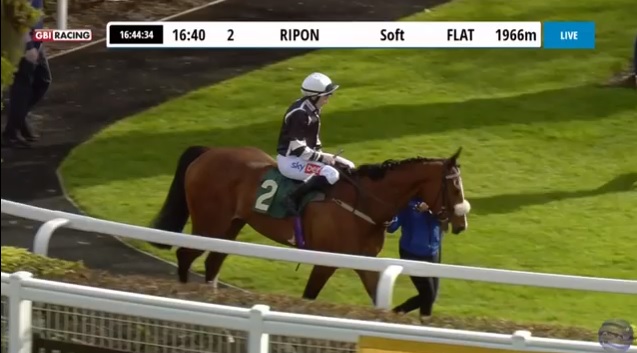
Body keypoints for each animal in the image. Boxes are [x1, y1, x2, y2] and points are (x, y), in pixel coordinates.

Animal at [148, 144, 468, 304]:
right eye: (454, 187)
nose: (461, 222)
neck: (363, 202)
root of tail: (207, 152)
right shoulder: (326, 261)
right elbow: (309, 296)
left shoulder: (364, 260)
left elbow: (377, 296)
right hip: (209, 223)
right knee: (185, 255)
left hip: (230, 226)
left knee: (212, 262)